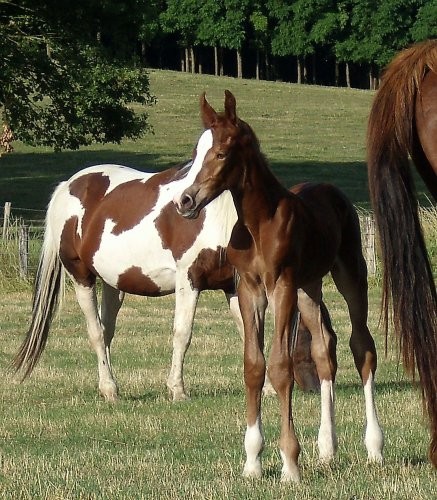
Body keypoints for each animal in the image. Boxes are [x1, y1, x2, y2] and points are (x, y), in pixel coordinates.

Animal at [12, 130, 320, 402]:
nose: (312, 387)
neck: (220, 218)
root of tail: (68, 184)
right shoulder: (189, 280)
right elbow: (182, 334)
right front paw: (177, 390)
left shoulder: (234, 285)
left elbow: (250, 334)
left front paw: (266, 389)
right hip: (81, 277)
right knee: (96, 332)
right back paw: (110, 390)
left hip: (114, 282)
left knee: (107, 330)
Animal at [175, 92, 384, 482]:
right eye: (196, 152)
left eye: (222, 153)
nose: (185, 201)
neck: (259, 223)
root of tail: (331, 189)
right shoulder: (250, 290)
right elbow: (254, 366)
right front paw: (253, 461)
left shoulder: (282, 287)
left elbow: (280, 366)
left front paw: (290, 463)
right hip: (309, 289)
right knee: (324, 351)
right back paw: (327, 449)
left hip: (349, 275)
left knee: (362, 347)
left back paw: (375, 447)